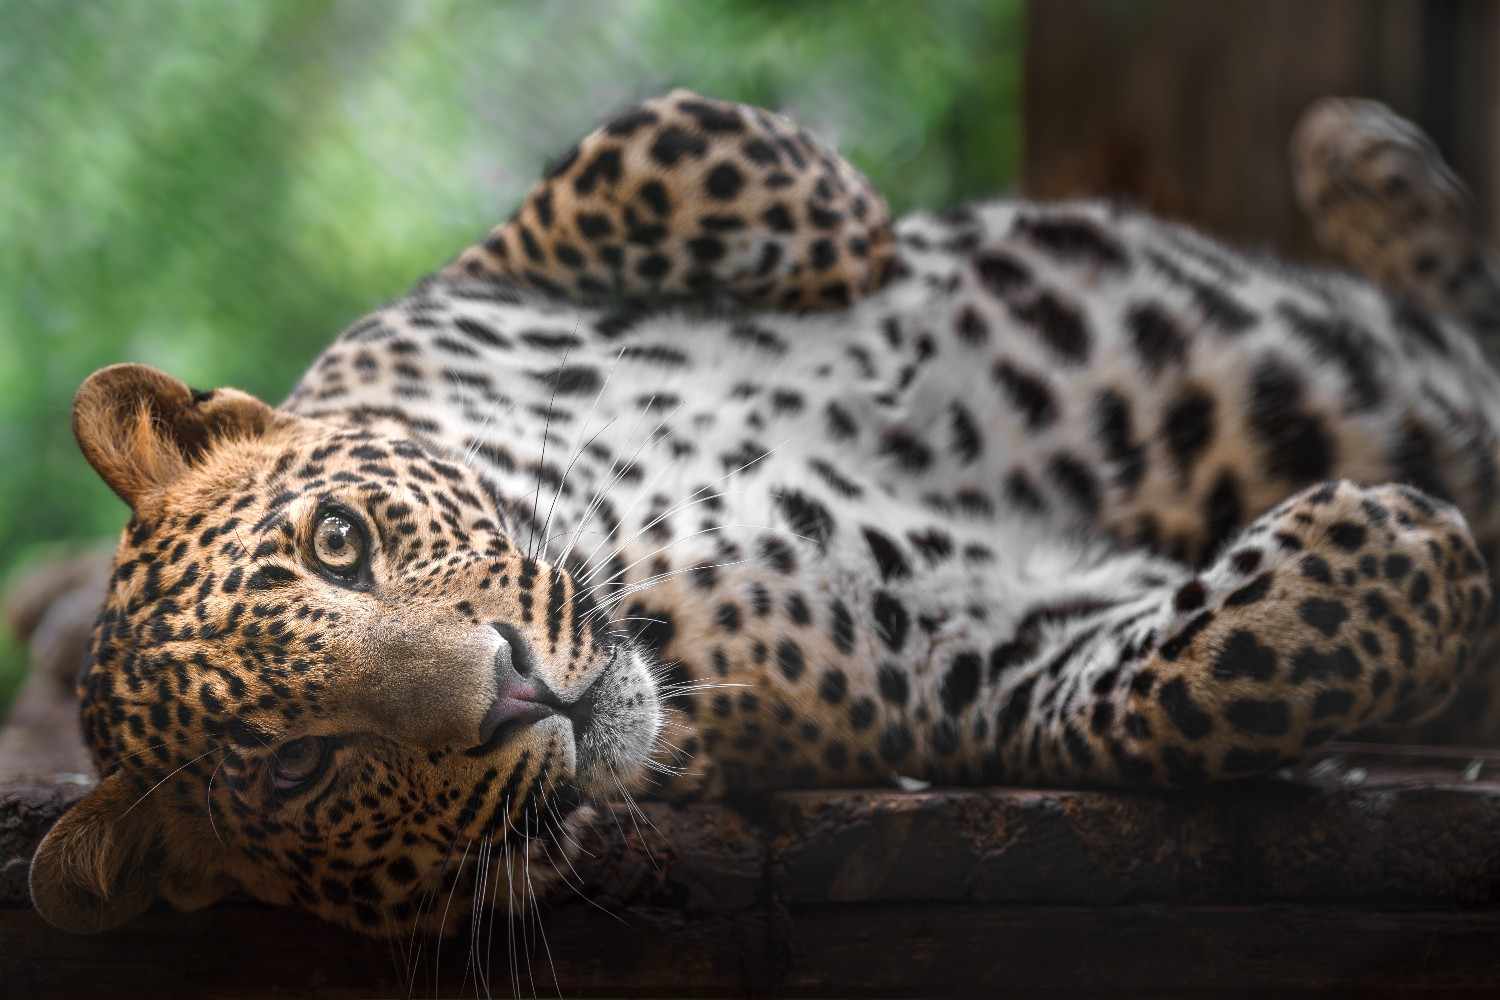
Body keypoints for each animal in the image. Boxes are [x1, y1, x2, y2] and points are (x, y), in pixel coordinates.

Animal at [26, 91, 1500, 941]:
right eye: (294, 769)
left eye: (341, 542)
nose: (513, 691)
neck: (627, 534)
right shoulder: (963, 657)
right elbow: (1185, 684)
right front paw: (1401, 552)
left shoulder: (489, 269)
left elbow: (665, 139)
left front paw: (874, 245)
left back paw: (1364, 156)